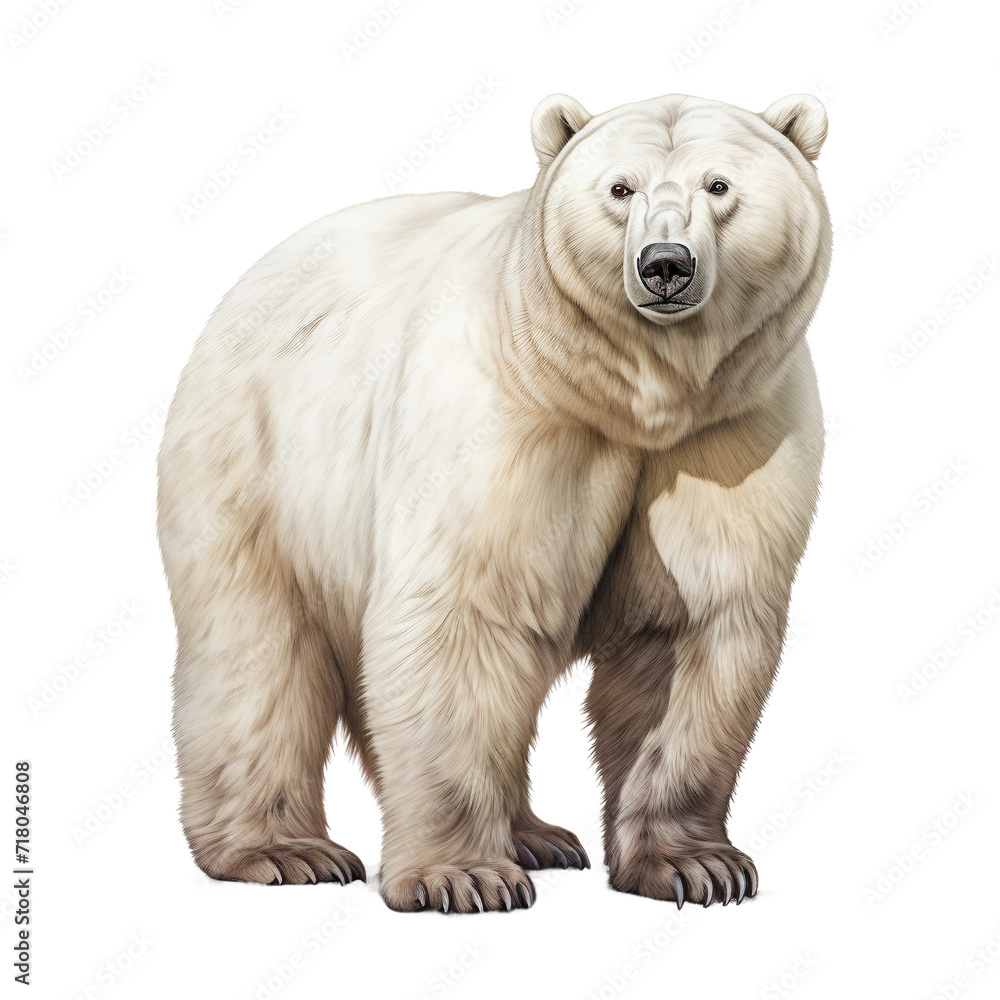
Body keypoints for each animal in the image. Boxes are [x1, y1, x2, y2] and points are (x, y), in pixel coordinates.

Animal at [157, 91, 831, 913]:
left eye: (720, 184)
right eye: (620, 188)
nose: (665, 264)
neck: (632, 398)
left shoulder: (727, 433)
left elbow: (691, 625)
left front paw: (697, 865)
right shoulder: (506, 417)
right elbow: (461, 612)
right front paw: (462, 876)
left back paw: (538, 835)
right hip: (257, 466)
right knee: (258, 652)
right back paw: (286, 850)